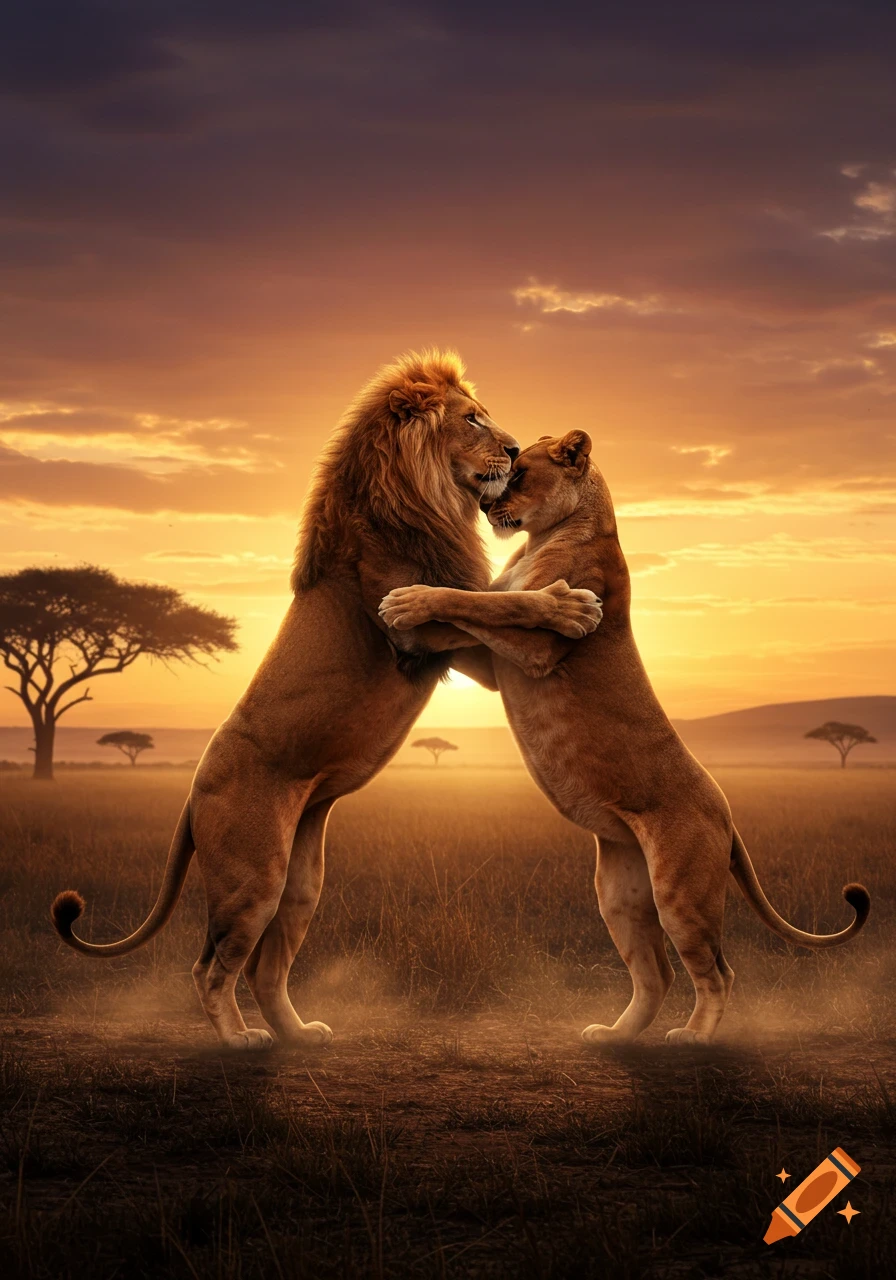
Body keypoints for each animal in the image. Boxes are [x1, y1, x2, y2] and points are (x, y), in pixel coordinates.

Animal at [50, 354, 601, 1051]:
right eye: (472, 418)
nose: (510, 448)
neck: (419, 500)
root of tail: (194, 791)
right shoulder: (415, 638)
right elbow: (485, 602)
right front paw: (569, 605)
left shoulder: (460, 651)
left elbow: (489, 602)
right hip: (253, 876)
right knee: (209, 966)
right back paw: (239, 1041)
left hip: (301, 881)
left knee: (262, 968)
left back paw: (299, 1033)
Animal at [379, 430, 871, 1045]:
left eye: (519, 474)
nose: (489, 511)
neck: (546, 536)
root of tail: (727, 817)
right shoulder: (497, 667)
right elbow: (476, 614)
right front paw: (407, 624)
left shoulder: (533, 651)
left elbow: (486, 602)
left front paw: (407, 602)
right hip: (619, 894)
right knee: (656, 973)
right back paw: (614, 1035)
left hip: (681, 893)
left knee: (719, 972)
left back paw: (693, 1039)